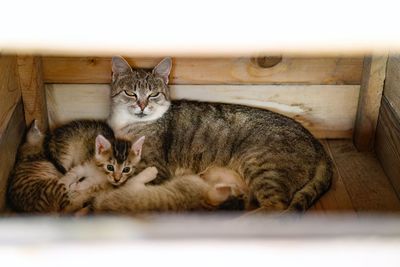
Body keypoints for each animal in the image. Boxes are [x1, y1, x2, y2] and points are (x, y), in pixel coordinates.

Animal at [105, 56, 332, 214]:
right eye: (130, 93)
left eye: (153, 94)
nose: (142, 106)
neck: (129, 123)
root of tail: (315, 141)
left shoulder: (155, 166)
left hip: (261, 164)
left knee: (277, 207)